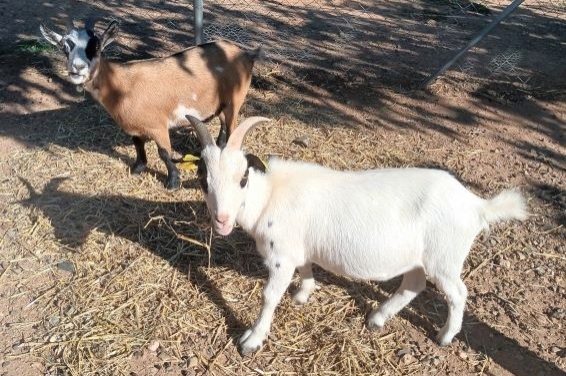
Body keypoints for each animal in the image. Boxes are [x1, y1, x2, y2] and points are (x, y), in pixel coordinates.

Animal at [40, 19, 262, 189]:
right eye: (64, 47)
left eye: (96, 47)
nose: (77, 68)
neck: (122, 85)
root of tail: (247, 53)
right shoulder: (132, 126)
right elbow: (138, 145)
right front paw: (138, 168)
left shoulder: (158, 126)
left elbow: (164, 153)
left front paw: (173, 182)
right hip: (220, 103)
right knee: (224, 123)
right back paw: (216, 149)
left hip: (236, 98)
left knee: (232, 126)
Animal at [186, 115, 528, 356]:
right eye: (203, 179)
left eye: (243, 177)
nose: (222, 220)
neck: (270, 194)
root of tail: (476, 204)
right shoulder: (299, 248)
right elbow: (306, 267)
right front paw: (303, 294)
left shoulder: (281, 256)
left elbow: (269, 296)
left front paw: (252, 340)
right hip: (418, 258)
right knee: (414, 284)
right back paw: (378, 318)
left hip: (443, 258)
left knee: (457, 293)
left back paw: (444, 336)